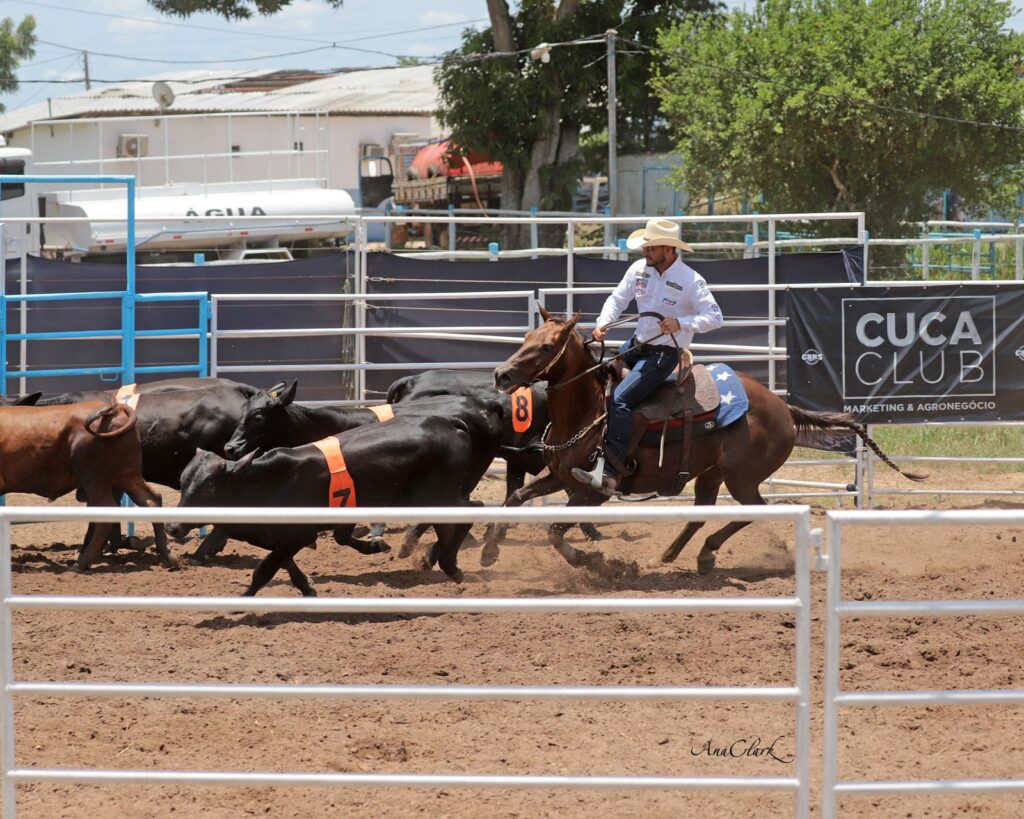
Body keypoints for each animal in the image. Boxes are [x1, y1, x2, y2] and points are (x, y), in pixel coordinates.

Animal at [0, 401, 173, 569]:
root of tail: (116, 408)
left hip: (95, 478)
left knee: (106, 512)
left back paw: (82, 562)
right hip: (127, 474)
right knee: (152, 500)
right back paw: (167, 556)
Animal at [169, 413, 501, 593]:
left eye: (208, 488)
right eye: (183, 482)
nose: (172, 527)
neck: (270, 480)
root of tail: (452, 423)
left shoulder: (298, 533)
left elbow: (267, 569)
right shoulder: (284, 536)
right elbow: (292, 562)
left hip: (436, 495)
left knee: (471, 511)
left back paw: (451, 564)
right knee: (459, 520)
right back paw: (437, 560)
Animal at [491, 305, 925, 577]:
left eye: (547, 346)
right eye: (526, 336)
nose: (501, 375)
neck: (589, 410)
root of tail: (784, 409)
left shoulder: (593, 492)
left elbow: (555, 531)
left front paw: (595, 563)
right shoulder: (560, 477)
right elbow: (515, 499)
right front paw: (488, 551)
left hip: (741, 476)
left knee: (752, 511)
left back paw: (705, 554)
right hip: (711, 474)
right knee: (701, 513)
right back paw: (675, 554)